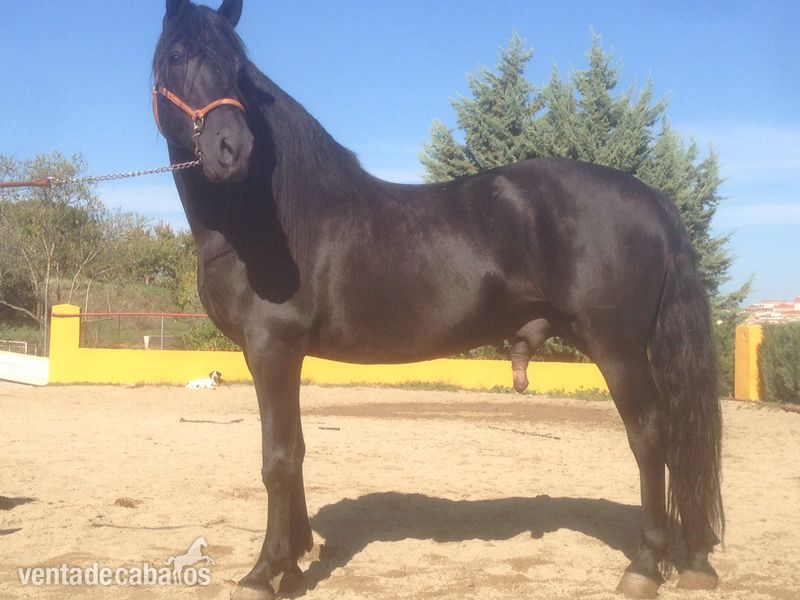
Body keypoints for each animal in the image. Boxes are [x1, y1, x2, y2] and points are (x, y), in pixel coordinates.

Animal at [152, 1, 724, 597]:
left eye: (238, 69)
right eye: (177, 55)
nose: (231, 149)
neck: (274, 221)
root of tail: (650, 197)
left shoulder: (271, 348)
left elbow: (278, 459)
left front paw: (265, 571)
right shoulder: (285, 355)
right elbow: (299, 448)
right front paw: (295, 558)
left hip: (619, 350)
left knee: (651, 435)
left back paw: (644, 564)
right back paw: (692, 558)